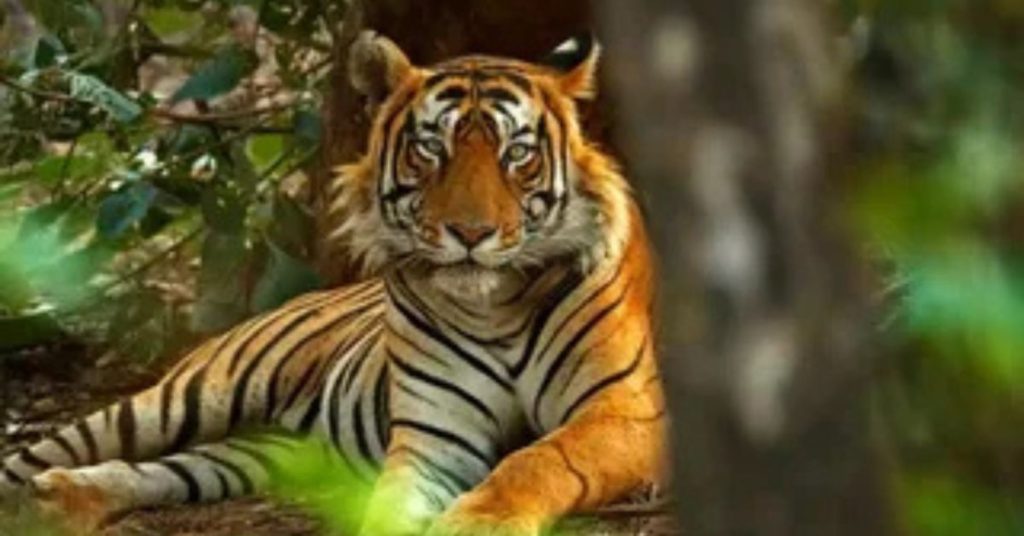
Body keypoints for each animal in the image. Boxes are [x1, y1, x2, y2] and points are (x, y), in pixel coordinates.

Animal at [0, 31, 665, 536]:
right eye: (432, 150)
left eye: (517, 155)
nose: (470, 232)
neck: (496, 306)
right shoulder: (433, 436)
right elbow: (394, 506)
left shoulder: (628, 411)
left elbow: (540, 459)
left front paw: (479, 521)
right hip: (187, 396)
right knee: (45, 451)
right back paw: (40, 495)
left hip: (265, 452)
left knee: (171, 470)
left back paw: (60, 500)